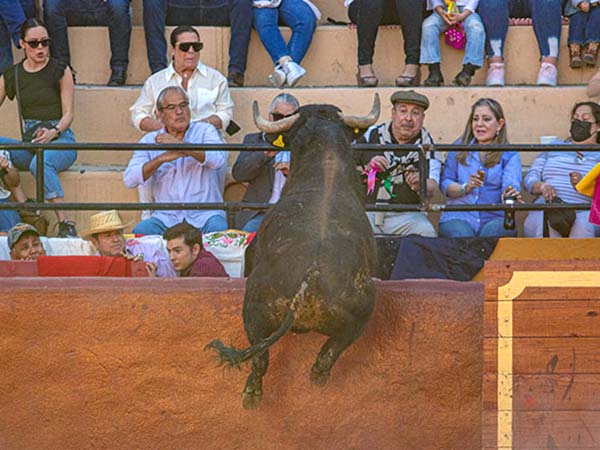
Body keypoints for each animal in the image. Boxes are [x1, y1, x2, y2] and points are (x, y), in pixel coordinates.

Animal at [206, 96, 382, 410]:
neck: (324, 165)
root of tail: (310, 278)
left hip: (255, 306)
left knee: (263, 357)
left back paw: (253, 394)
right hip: (358, 311)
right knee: (324, 354)